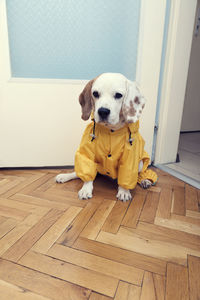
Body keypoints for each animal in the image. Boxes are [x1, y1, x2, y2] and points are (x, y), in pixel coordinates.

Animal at [55, 72, 157, 202]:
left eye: (118, 95)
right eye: (95, 94)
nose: (103, 111)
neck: (111, 131)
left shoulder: (130, 159)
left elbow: (127, 176)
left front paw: (124, 191)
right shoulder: (87, 154)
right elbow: (87, 173)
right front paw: (86, 189)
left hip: (140, 163)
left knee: (140, 173)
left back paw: (145, 180)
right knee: (80, 172)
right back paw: (65, 176)